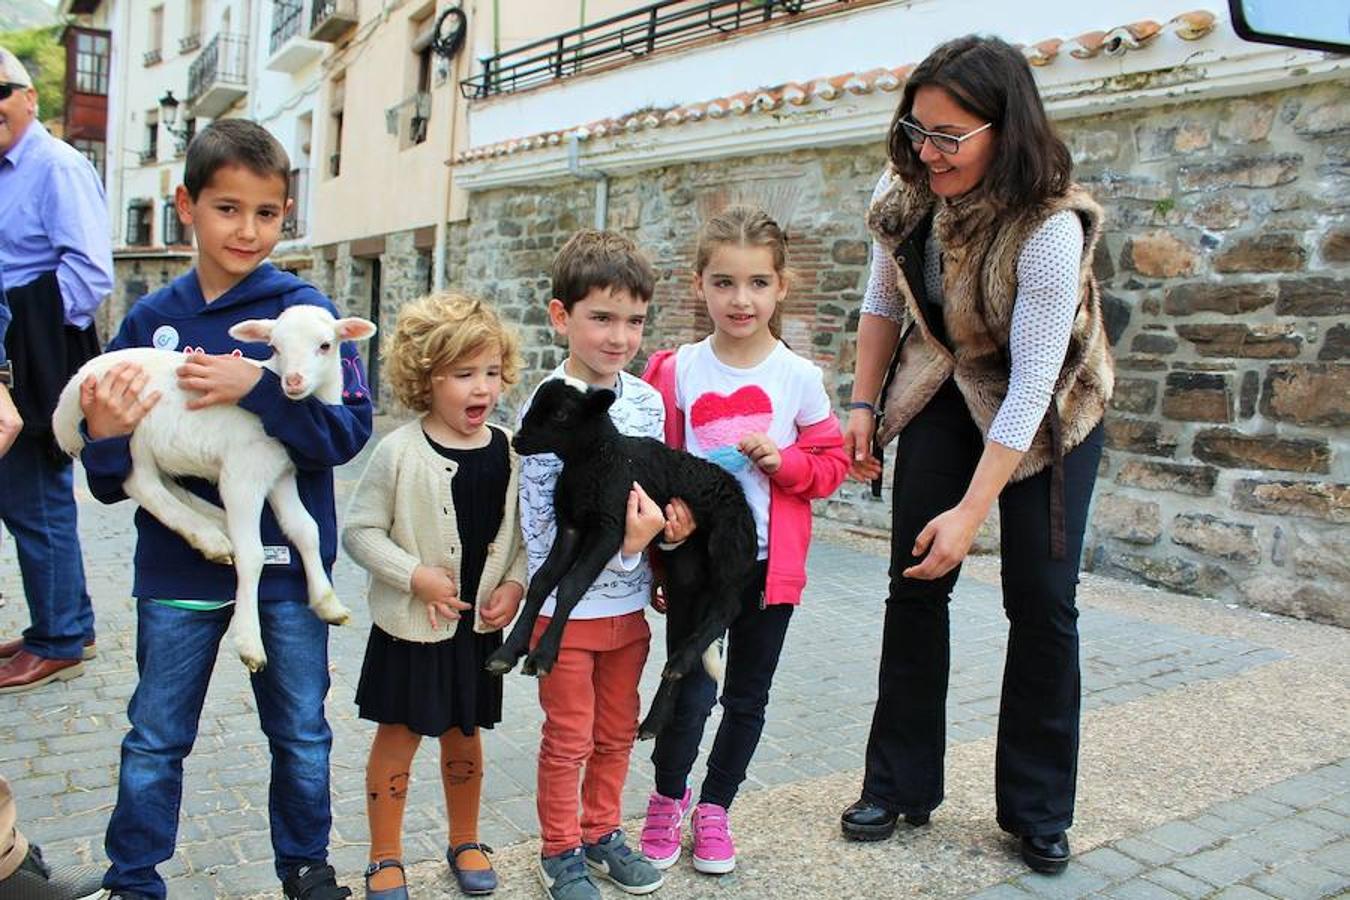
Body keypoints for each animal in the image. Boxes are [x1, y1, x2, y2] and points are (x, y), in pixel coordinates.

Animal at [50, 306, 378, 671]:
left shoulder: (278, 473)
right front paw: (250, 642)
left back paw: (215, 526)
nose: (293, 381)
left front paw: (327, 604)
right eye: (274, 347)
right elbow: (253, 555)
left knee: (164, 482)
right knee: (141, 483)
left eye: (325, 345)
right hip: (130, 427)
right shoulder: (242, 477)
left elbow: (306, 530)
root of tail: (64, 403)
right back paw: (210, 535)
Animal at [486, 377, 761, 739]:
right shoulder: (571, 526)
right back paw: (657, 714)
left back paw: (681, 662)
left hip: (728, 550)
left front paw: (543, 656)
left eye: (561, 413)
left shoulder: (610, 528)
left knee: (729, 606)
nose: (518, 440)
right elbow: (542, 582)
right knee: (685, 633)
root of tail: (740, 496)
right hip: (686, 575)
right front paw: (507, 653)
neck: (597, 460)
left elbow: (571, 584)